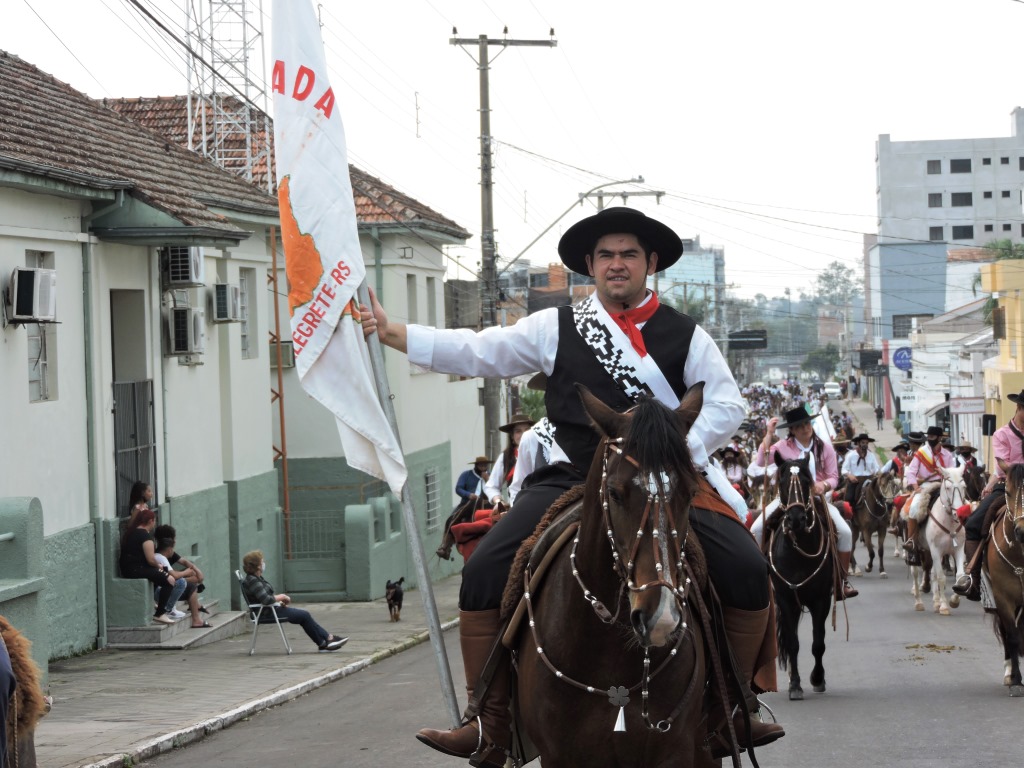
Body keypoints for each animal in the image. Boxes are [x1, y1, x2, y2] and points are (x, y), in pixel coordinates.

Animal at [913, 466, 966, 618]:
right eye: (948, 488)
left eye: (964, 487)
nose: (959, 513)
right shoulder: (936, 551)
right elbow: (942, 577)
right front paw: (944, 606)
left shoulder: (958, 549)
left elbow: (960, 577)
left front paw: (954, 600)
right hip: (917, 551)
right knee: (916, 573)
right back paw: (919, 602)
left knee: (933, 573)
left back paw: (936, 601)